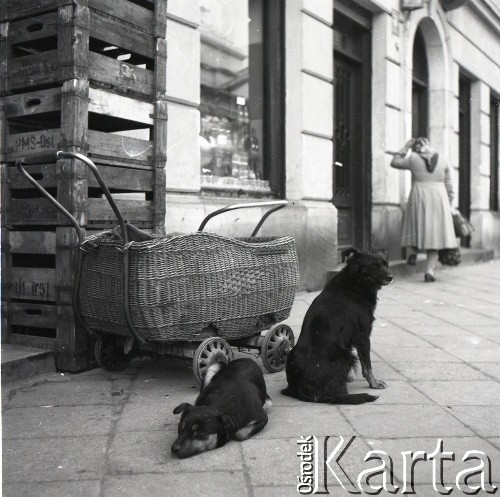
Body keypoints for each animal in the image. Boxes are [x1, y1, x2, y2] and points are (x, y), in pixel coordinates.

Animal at [282, 246, 394, 404]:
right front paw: (374, 383)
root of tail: (306, 388)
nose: (391, 277)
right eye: (374, 265)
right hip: (346, 356)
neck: (356, 281)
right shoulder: (363, 336)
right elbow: (367, 366)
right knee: (337, 391)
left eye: (385, 263)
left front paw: (352, 377)